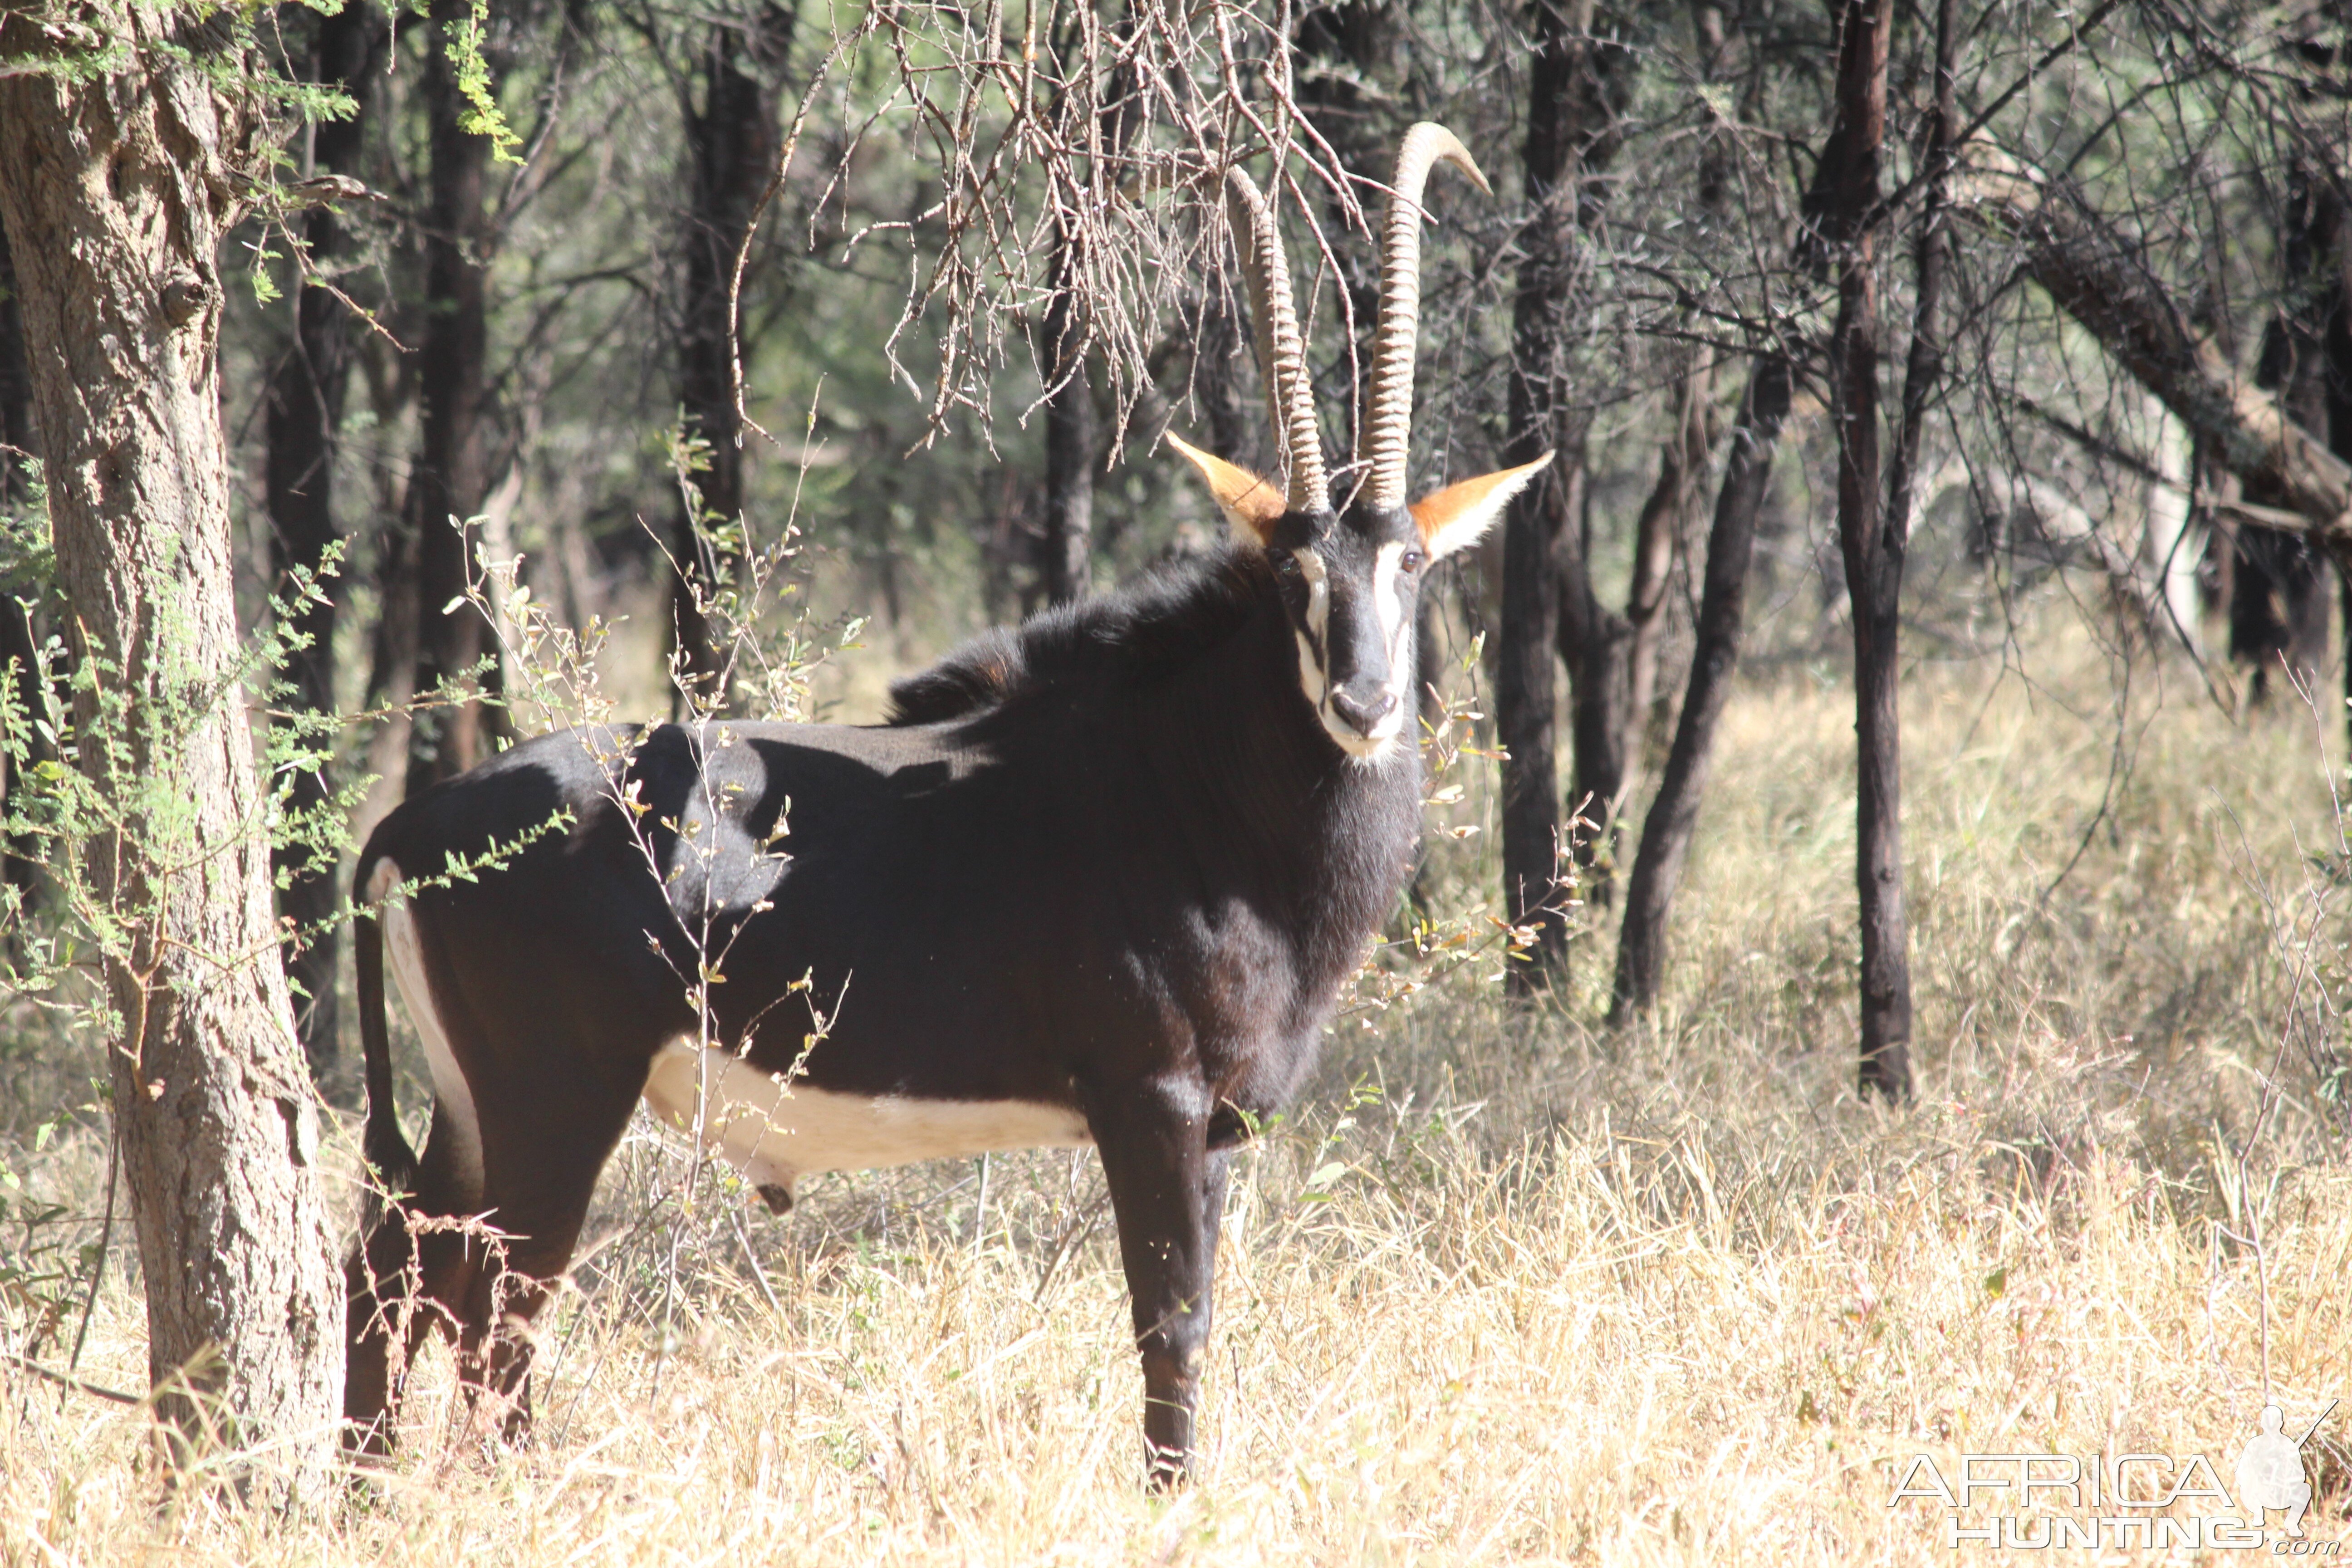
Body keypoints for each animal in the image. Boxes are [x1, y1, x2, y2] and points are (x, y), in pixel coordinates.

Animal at [336, 122, 1543, 1485]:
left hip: (469, 1107)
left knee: (396, 1269)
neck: (1198, 788)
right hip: (556, 1100)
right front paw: (1171, 1503)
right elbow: (1170, 1326)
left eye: (1413, 563)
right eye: (1292, 575)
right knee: (496, 1307)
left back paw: (364, 1490)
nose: (1364, 700)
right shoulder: (1151, 1099)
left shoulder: (1218, 1132)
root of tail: (412, 827)